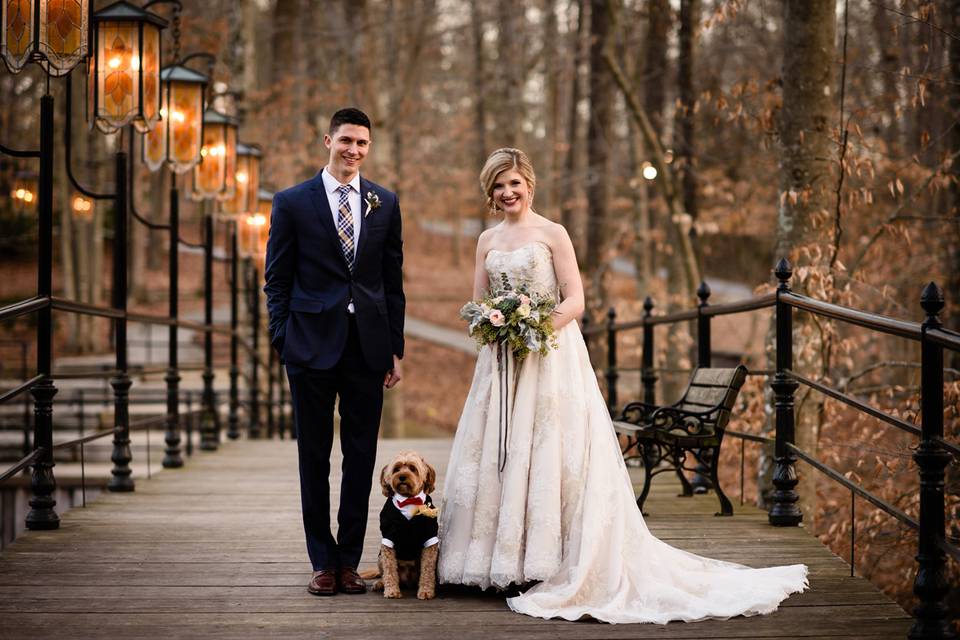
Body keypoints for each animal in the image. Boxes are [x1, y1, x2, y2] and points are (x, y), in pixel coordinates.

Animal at [362, 450, 440, 600]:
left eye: (413, 469)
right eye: (396, 469)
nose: (402, 477)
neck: (408, 500)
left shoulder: (430, 539)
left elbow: (427, 570)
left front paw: (426, 591)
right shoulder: (388, 538)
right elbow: (390, 569)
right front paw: (392, 591)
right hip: (380, 558)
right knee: (384, 573)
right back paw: (380, 583)